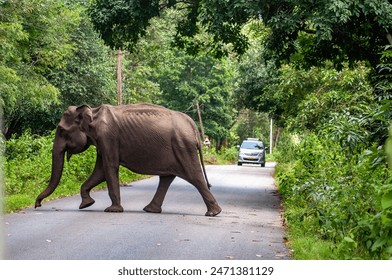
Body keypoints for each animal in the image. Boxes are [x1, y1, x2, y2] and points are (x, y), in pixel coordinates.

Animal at [34, 103, 222, 217]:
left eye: (61, 130)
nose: (37, 205)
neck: (92, 111)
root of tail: (193, 126)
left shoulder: (108, 138)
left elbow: (109, 168)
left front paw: (112, 210)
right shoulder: (103, 142)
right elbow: (100, 171)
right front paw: (86, 205)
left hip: (183, 147)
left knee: (194, 175)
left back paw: (213, 213)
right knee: (167, 177)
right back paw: (150, 210)